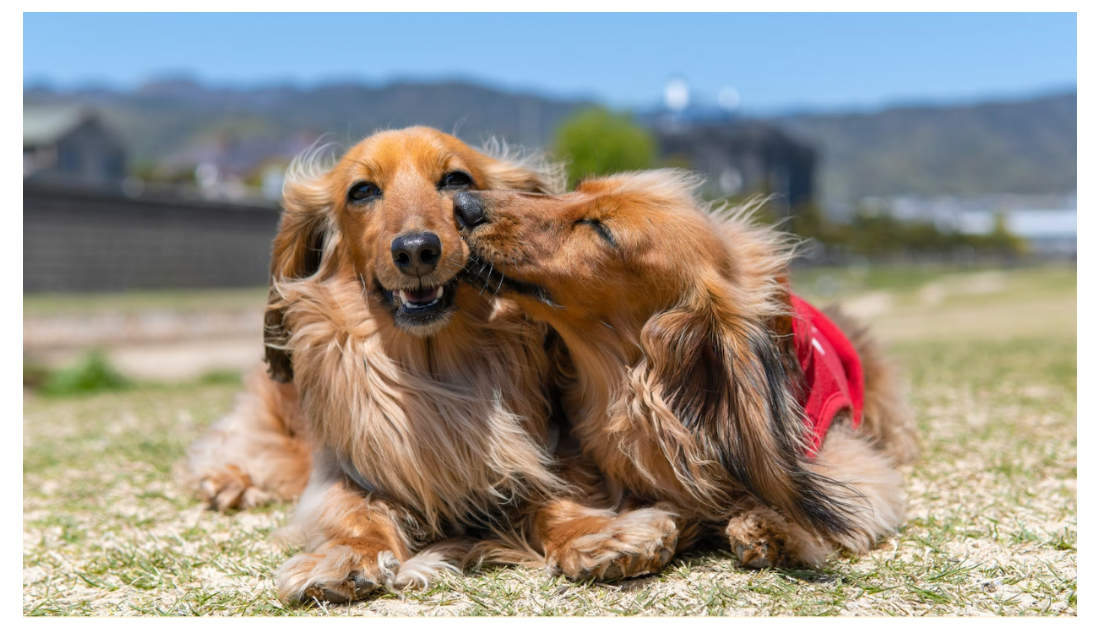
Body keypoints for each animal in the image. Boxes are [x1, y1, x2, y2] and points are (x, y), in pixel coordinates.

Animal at [455, 169, 919, 571]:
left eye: (602, 230)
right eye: (573, 191)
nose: (462, 203)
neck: (634, 392)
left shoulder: (839, 451)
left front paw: (774, 526)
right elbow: (548, 506)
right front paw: (597, 538)